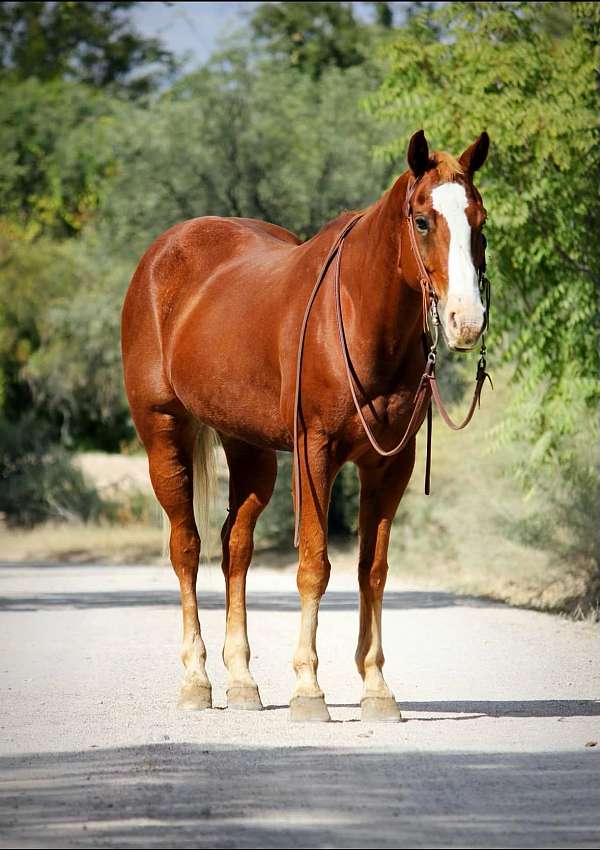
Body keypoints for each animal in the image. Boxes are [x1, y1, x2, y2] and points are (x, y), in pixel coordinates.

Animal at [120, 127, 488, 724]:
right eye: (422, 220)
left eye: (479, 219)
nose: (466, 321)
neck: (361, 319)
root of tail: (162, 252)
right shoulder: (317, 455)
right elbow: (314, 566)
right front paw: (308, 690)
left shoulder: (391, 465)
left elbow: (372, 570)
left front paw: (377, 688)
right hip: (163, 434)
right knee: (187, 547)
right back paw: (197, 680)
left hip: (249, 450)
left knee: (235, 548)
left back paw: (243, 683)